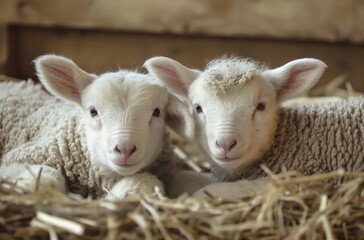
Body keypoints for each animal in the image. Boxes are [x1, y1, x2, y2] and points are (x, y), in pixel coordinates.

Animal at [144, 56, 364, 199]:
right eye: (198, 108)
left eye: (261, 106)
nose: (225, 144)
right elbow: (182, 178)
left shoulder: (297, 178)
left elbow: (207, 194)